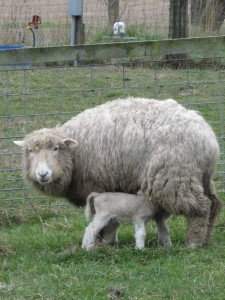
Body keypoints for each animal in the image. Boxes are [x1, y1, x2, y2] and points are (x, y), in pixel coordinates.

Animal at [13, 97, 222, 247]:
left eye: (56, 148)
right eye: (30, 151)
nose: (42, 174)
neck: (76, 152)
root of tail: (207, 136)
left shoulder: (98, 184)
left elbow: (105, 220)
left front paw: (102, 241)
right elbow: (113, 219)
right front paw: (110, 241)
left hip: (174, 176)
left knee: (201, 208)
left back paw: (194, 242)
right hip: (201, 176)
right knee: (214, 205)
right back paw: (206, 238)